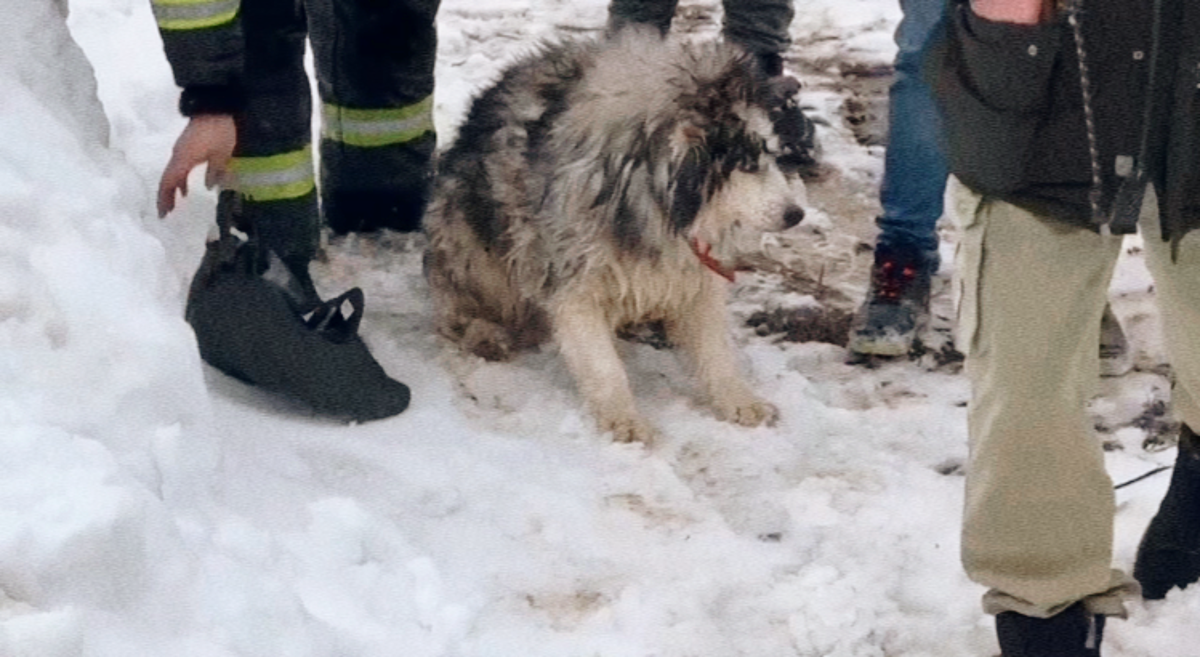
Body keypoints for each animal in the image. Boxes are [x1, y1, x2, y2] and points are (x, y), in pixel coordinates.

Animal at [427, 29, 811, 441]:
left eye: (772, 155)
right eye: (746, 164)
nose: (796, 215)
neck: (648, 195)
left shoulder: (695, 268)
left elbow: (716, 350)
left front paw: (738, 400)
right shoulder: (572, 280)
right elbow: (604, 367)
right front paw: (623, 420)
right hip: (468, 235)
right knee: (458, 306)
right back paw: (484, 331)